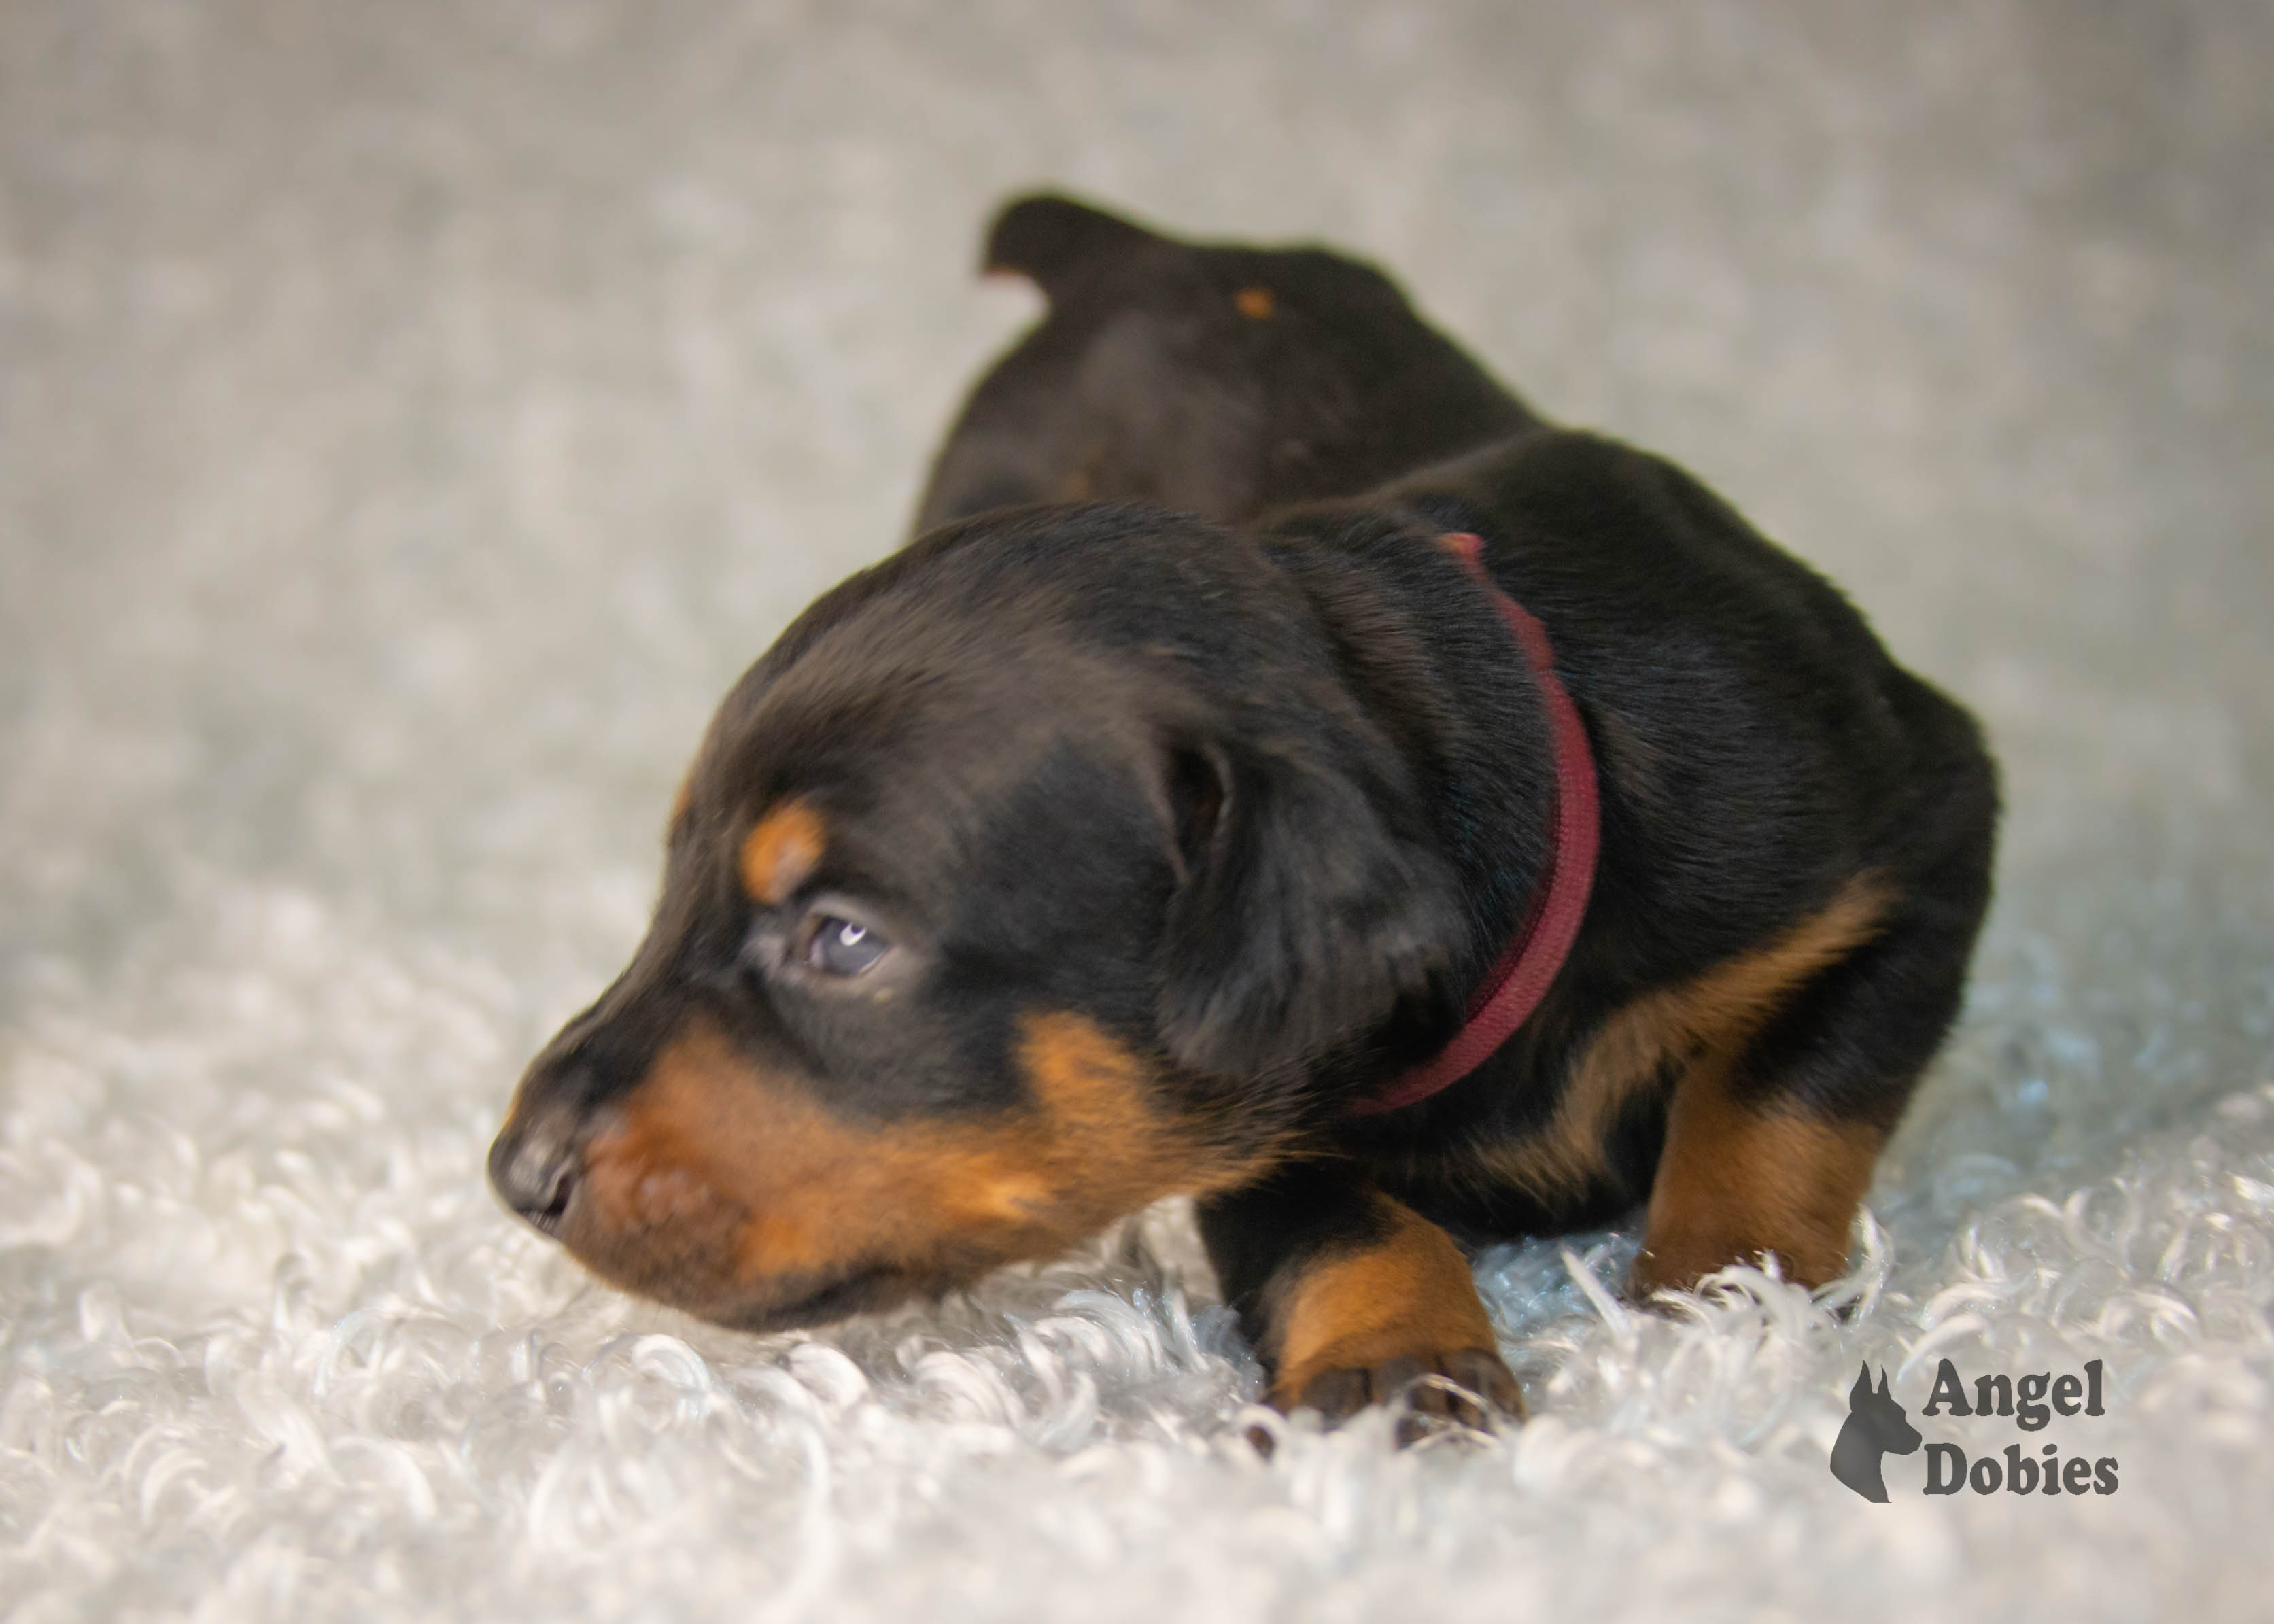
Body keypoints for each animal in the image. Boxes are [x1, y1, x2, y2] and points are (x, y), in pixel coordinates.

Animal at [484, 195, 1992, 1419]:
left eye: (842, 939)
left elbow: (1783, 1091)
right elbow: (1329, 1216)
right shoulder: (1248, 1096)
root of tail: (1139, 250)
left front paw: (1725, 1289)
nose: (515, 1173)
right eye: (670, 884)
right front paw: (1394, 1359)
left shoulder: (1915, 825)